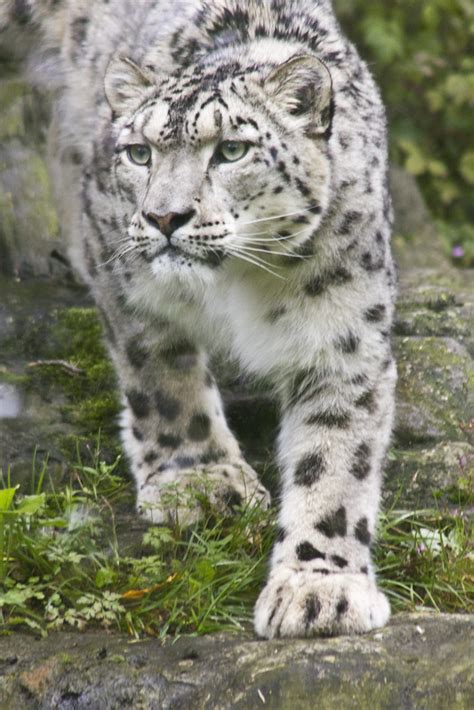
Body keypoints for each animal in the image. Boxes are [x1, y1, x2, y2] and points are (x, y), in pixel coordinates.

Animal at [2, 0, 396, 644]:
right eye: (139, 153)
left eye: (231, 150)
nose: (164, 216)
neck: (238, 278)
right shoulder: (126, 276)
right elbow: (163, 380)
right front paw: (202, 480)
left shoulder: (343, 331)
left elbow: (334, 459)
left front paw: (319, 589)